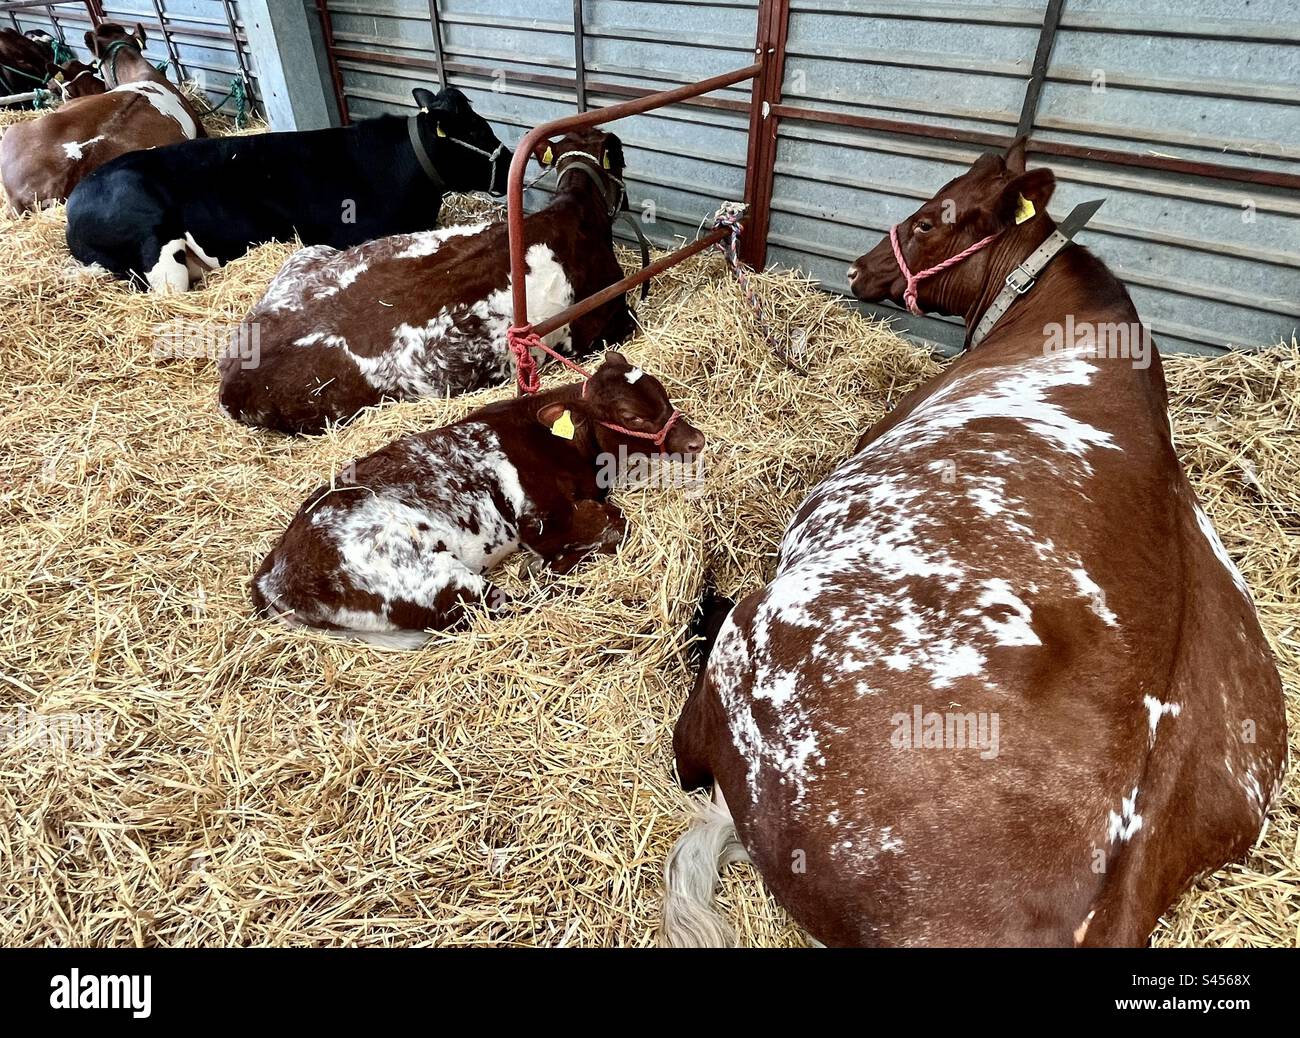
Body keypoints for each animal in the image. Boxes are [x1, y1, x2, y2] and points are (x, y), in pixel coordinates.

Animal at [249, 356, 707, 650]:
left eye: (662, 393)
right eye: (631, 417)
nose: (696, 440)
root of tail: (272, 578)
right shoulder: (539, 520)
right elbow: (615, 524)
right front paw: (552, 560)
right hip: (434, 579)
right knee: (512, 604)